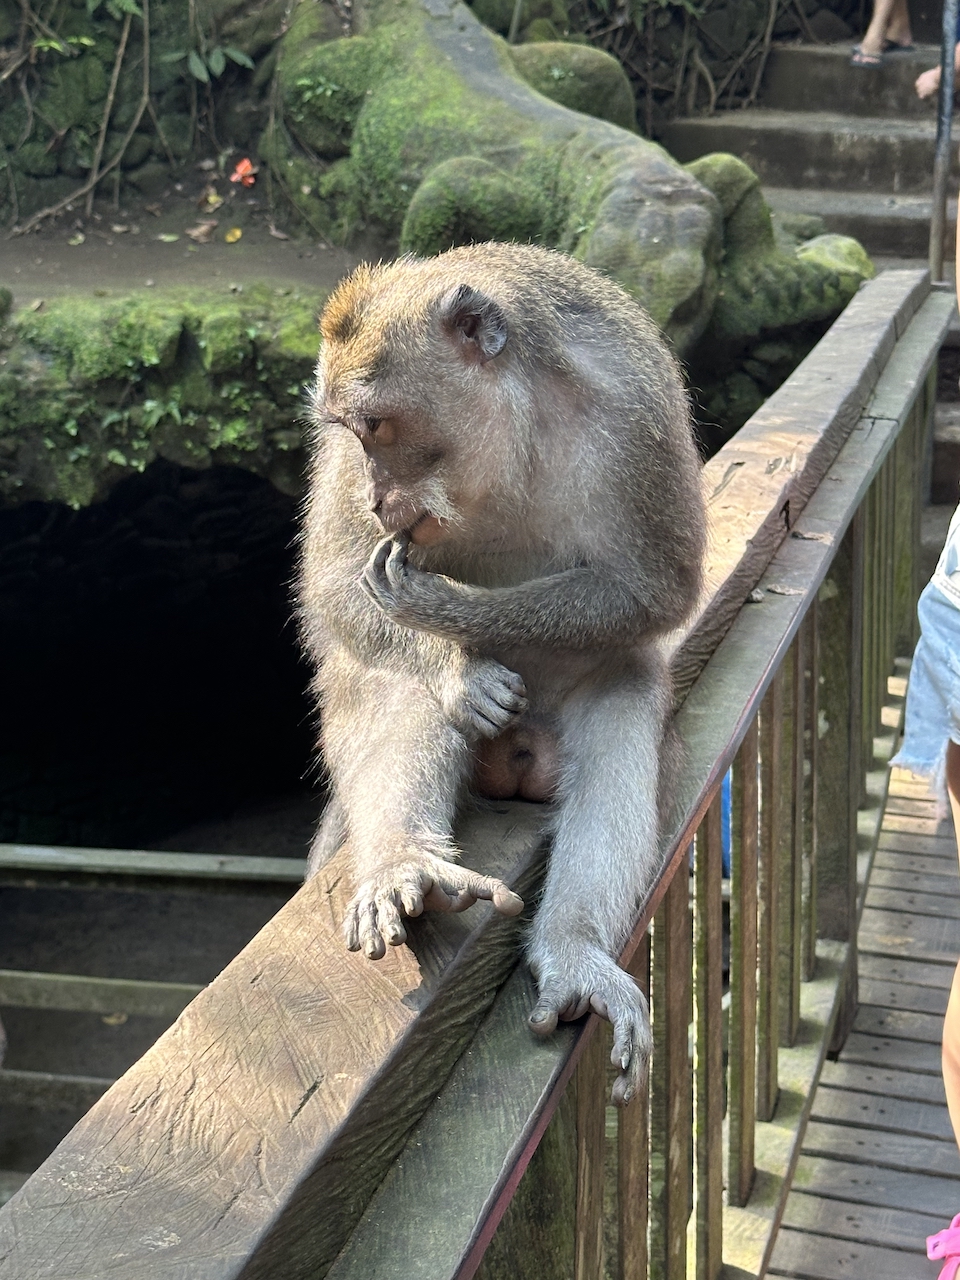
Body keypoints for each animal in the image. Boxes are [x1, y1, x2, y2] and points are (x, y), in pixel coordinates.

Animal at [298, 242, 705, 1106]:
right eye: (353, 433)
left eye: (380, 424)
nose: (378, 499)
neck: (512, 437)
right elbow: (336, 588)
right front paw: (461, 670)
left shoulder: (636, 406)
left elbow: (656, 588)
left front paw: (442, 607)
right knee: (391, 687)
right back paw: (403, 863)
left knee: (622, 700)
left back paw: (575, 950)